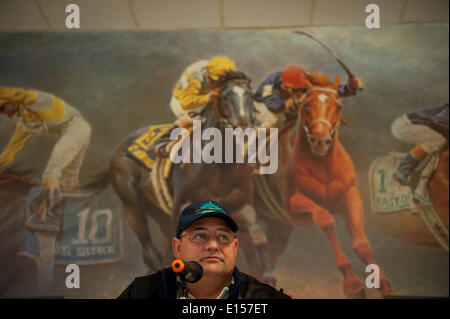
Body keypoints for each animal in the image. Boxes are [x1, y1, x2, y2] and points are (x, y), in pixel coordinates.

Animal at [255, 76, 392, 298]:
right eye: (307, 105)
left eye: (338, 106)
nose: (320, 140)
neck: (322, 165)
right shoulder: (292, 205)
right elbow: (325, 219)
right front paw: (351, 283)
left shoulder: (350, 195)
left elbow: (362, 244)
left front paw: (382, 282)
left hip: (278, 226)